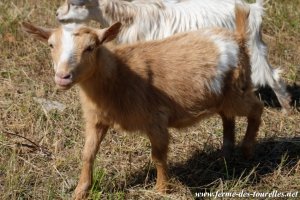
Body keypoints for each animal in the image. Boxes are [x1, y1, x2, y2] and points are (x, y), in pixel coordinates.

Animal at [56, 0, 290, 111]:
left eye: (75, 3)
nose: (57, 14)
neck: (131, 17)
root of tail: (254, 9)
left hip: (253, 50)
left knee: (272, 77)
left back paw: (286, 109)